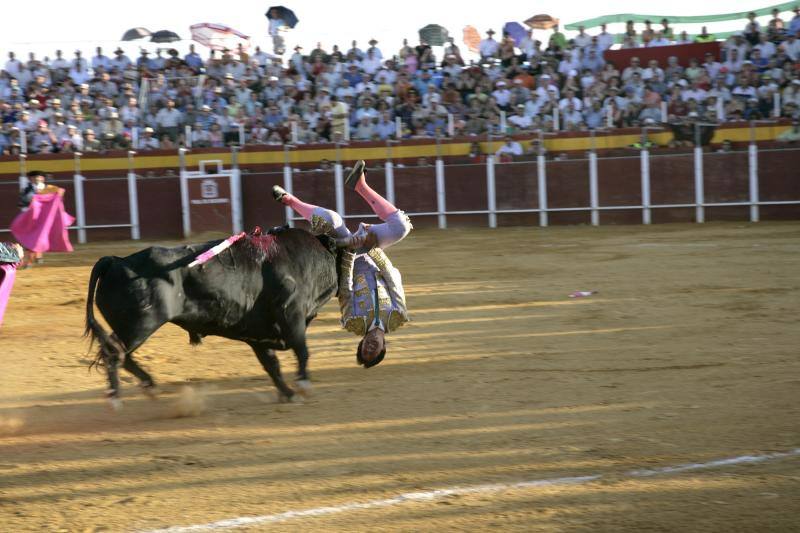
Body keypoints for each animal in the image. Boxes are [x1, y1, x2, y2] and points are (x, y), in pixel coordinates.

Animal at [84, 229, 340, 404]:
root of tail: (116, 261)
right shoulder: (292, 313)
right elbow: (301, 349)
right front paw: (303, 385)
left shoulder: (257, 334)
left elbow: (272, 365)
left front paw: (288, 393)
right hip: (139, 325)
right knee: (113, 352)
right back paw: (115, 397)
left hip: (131, 328)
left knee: (120, 354)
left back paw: (149, 386)